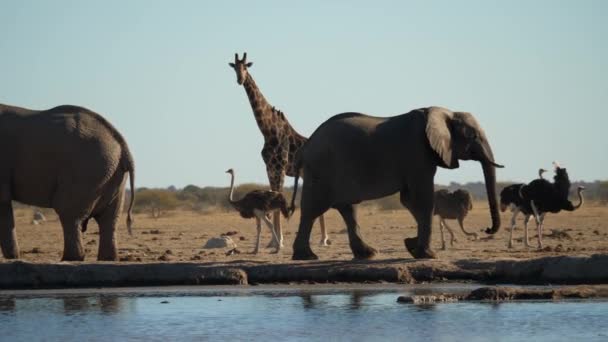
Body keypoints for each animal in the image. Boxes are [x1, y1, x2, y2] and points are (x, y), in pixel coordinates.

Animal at [0, 103, 135, 260]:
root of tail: (123, 145)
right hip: (113, 174)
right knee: (109, 219)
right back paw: (107, 259)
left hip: (86, 169)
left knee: (69, 213)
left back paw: (70, 259)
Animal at [230, 52, 330, 247]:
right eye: (235, 68)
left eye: (246, 67)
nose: (240, 79)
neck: (268, 131)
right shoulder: (270, 168)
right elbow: (273, 197)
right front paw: (272, 242)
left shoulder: (280, 168)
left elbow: (278, 196)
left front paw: (280, 241)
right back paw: (322, 239)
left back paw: (324, 240)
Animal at [290, 106, 504, 260]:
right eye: (473, 136)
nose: (486, 229)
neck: (445, 113)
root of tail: (305, 147)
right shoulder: (418, 154)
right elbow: (422, 199)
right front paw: (427, 255)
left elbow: (410, 200)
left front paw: (411, 245)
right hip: (321, 169)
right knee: (313, 209)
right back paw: (306, 257)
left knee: (348, 209)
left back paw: (368, 254)